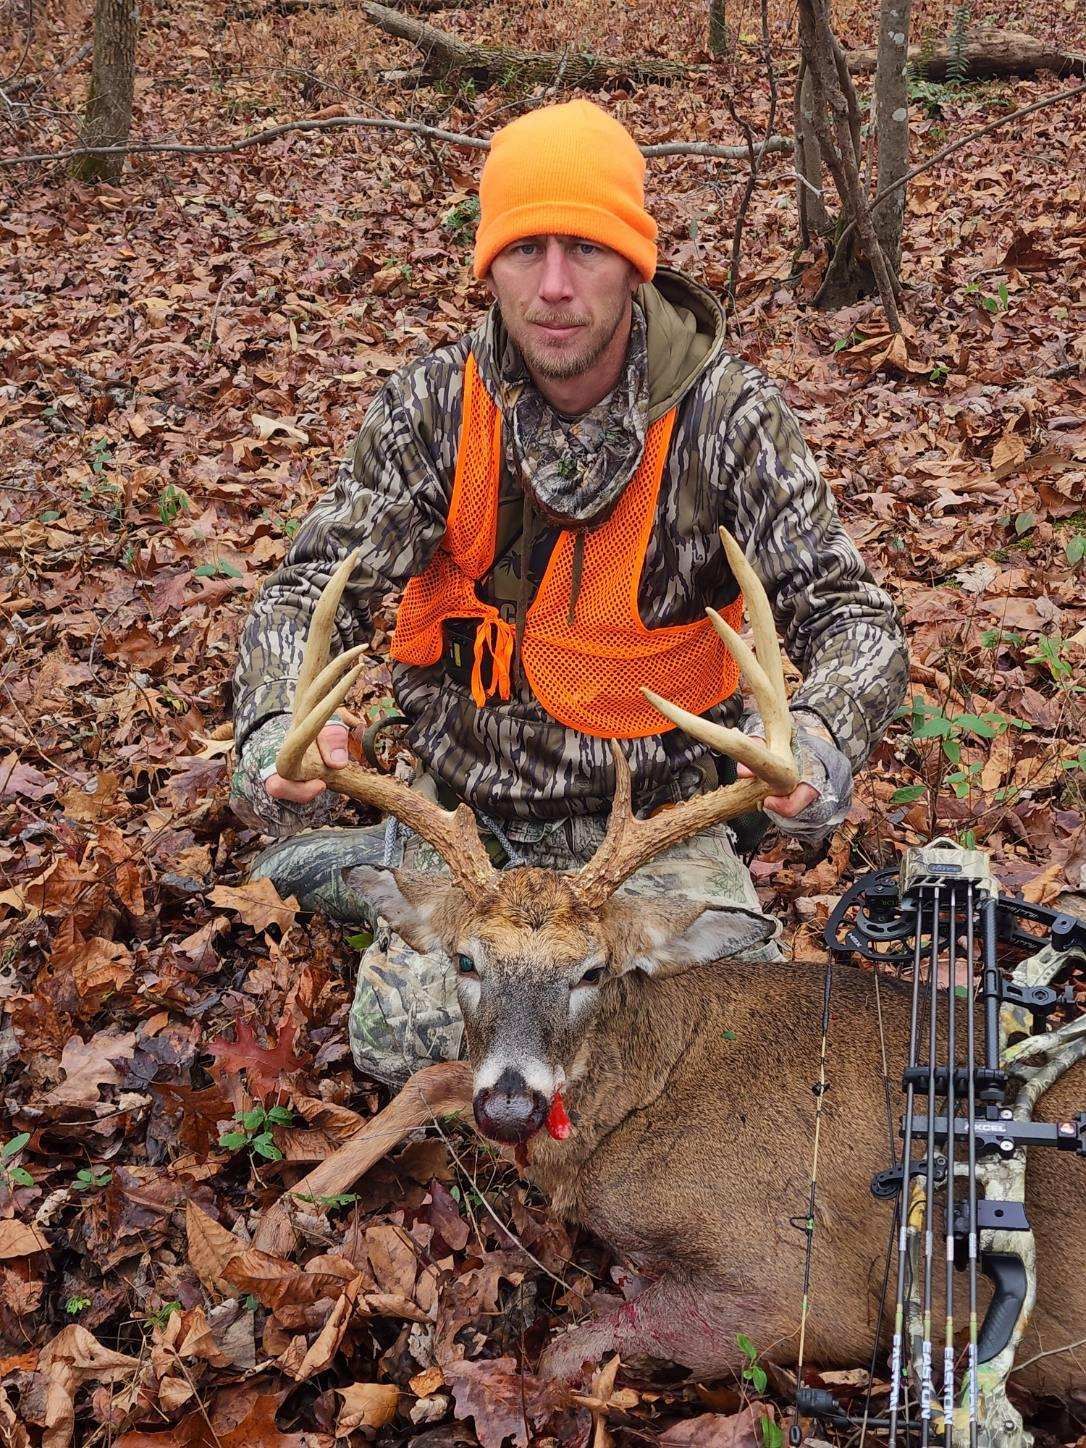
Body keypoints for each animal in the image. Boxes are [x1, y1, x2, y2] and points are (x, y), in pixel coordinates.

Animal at [266, 532, 1086, 1400]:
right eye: (465, 959)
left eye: (593, 971)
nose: (513, 1108)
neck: (640, 1098)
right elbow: (429, 1078)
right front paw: (294, 1202)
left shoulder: (808, 1288)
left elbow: (580, 1341)